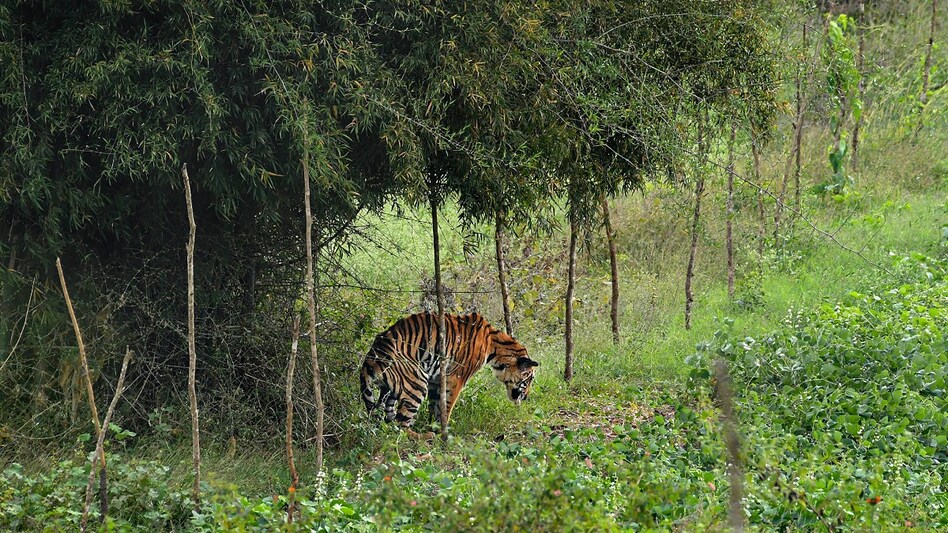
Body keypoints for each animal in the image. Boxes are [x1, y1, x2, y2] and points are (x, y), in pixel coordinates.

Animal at [359, 312, 539, 438]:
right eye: (529, 379)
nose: (526, 397)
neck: (494, 346)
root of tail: (371, 357)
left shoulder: (435, 380)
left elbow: (435, 405)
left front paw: (433, 425)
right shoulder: (456, 377)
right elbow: (447, 406)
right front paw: (442, 431)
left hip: (391, 390)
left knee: (390, 420)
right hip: (417, 383)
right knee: (400, 425)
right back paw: (424, 437)